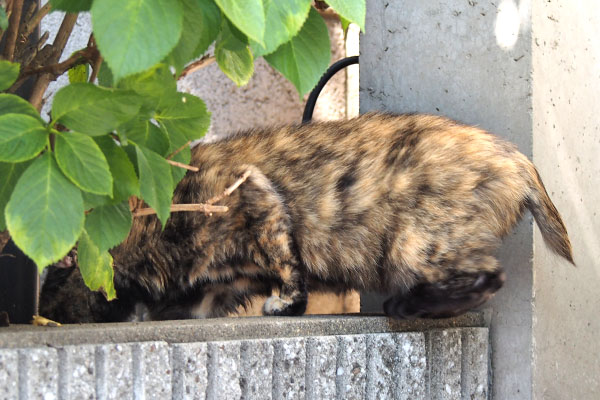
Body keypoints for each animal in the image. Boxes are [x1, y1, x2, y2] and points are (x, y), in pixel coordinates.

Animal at [37, 111, 572, 322]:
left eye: (56, 279)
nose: (41, 312)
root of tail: (515, 157)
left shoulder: (252, 196)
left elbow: (287, 266)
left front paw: (284, 304)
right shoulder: (216, 287)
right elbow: (198, 300)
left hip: (415, 244)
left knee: (486, 278)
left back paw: (411, 305)